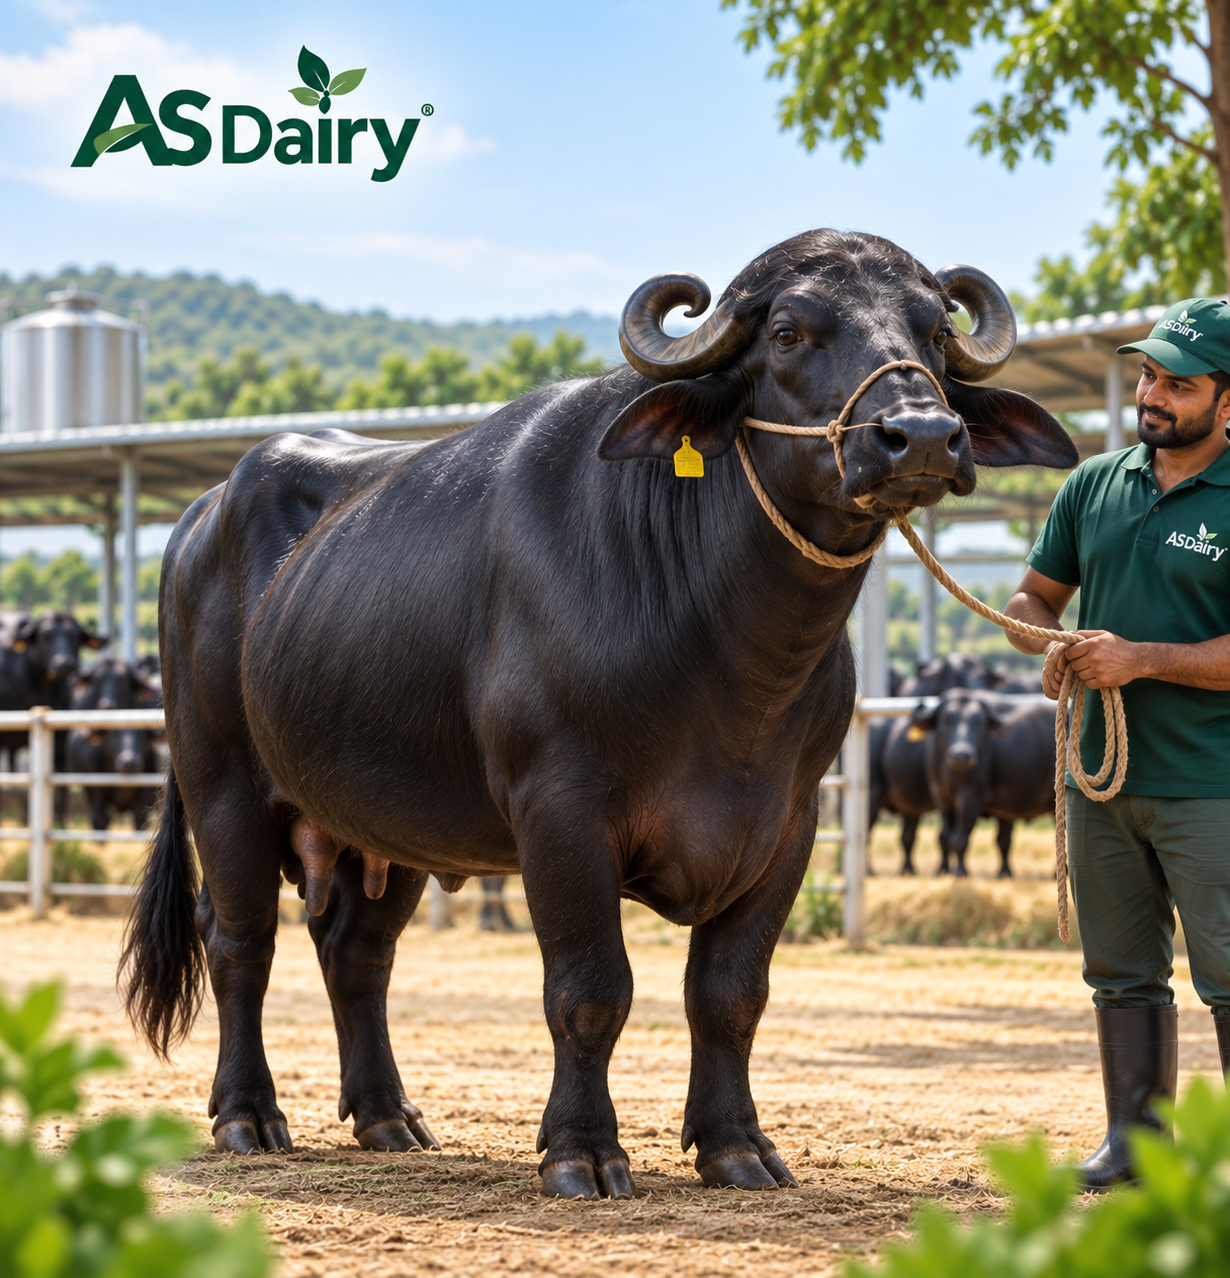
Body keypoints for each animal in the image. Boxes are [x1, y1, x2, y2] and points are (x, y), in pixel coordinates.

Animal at [122, 229, 1076, 1198]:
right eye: (786, 331)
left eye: (935, 331)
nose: (920, 435)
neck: (729, 659)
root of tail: (200, 516)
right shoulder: (561, 813)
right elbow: (589, 990)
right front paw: (581, 1151)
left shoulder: (789, 822)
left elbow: (731, 993)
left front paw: (737, 1146)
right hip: (223, 787)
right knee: (237, 940)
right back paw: (248, 1116)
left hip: (385, 822)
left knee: (356, 950)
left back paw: (389, 1116)